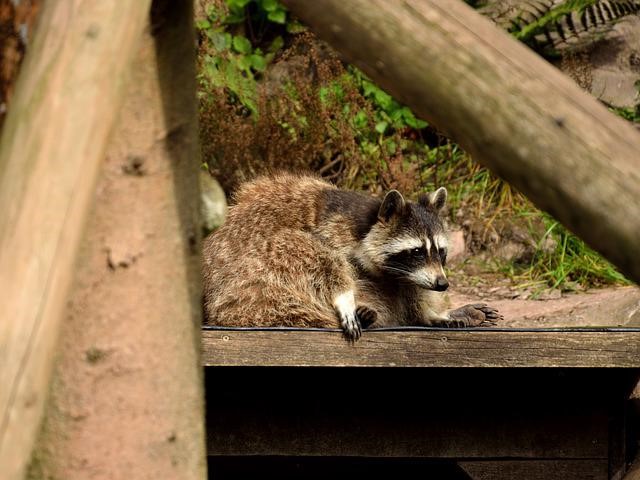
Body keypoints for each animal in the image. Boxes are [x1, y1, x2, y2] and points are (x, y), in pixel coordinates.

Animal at [204, 172, 500, 342]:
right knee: (296, 246)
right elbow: (325, 259)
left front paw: (435, 313)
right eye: (416, 251)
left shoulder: (405, 273)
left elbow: (409, 287)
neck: (365, 223)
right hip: (248, 287)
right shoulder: (332, 231)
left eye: (440, 251)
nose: (442, 284)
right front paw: (344, 297)